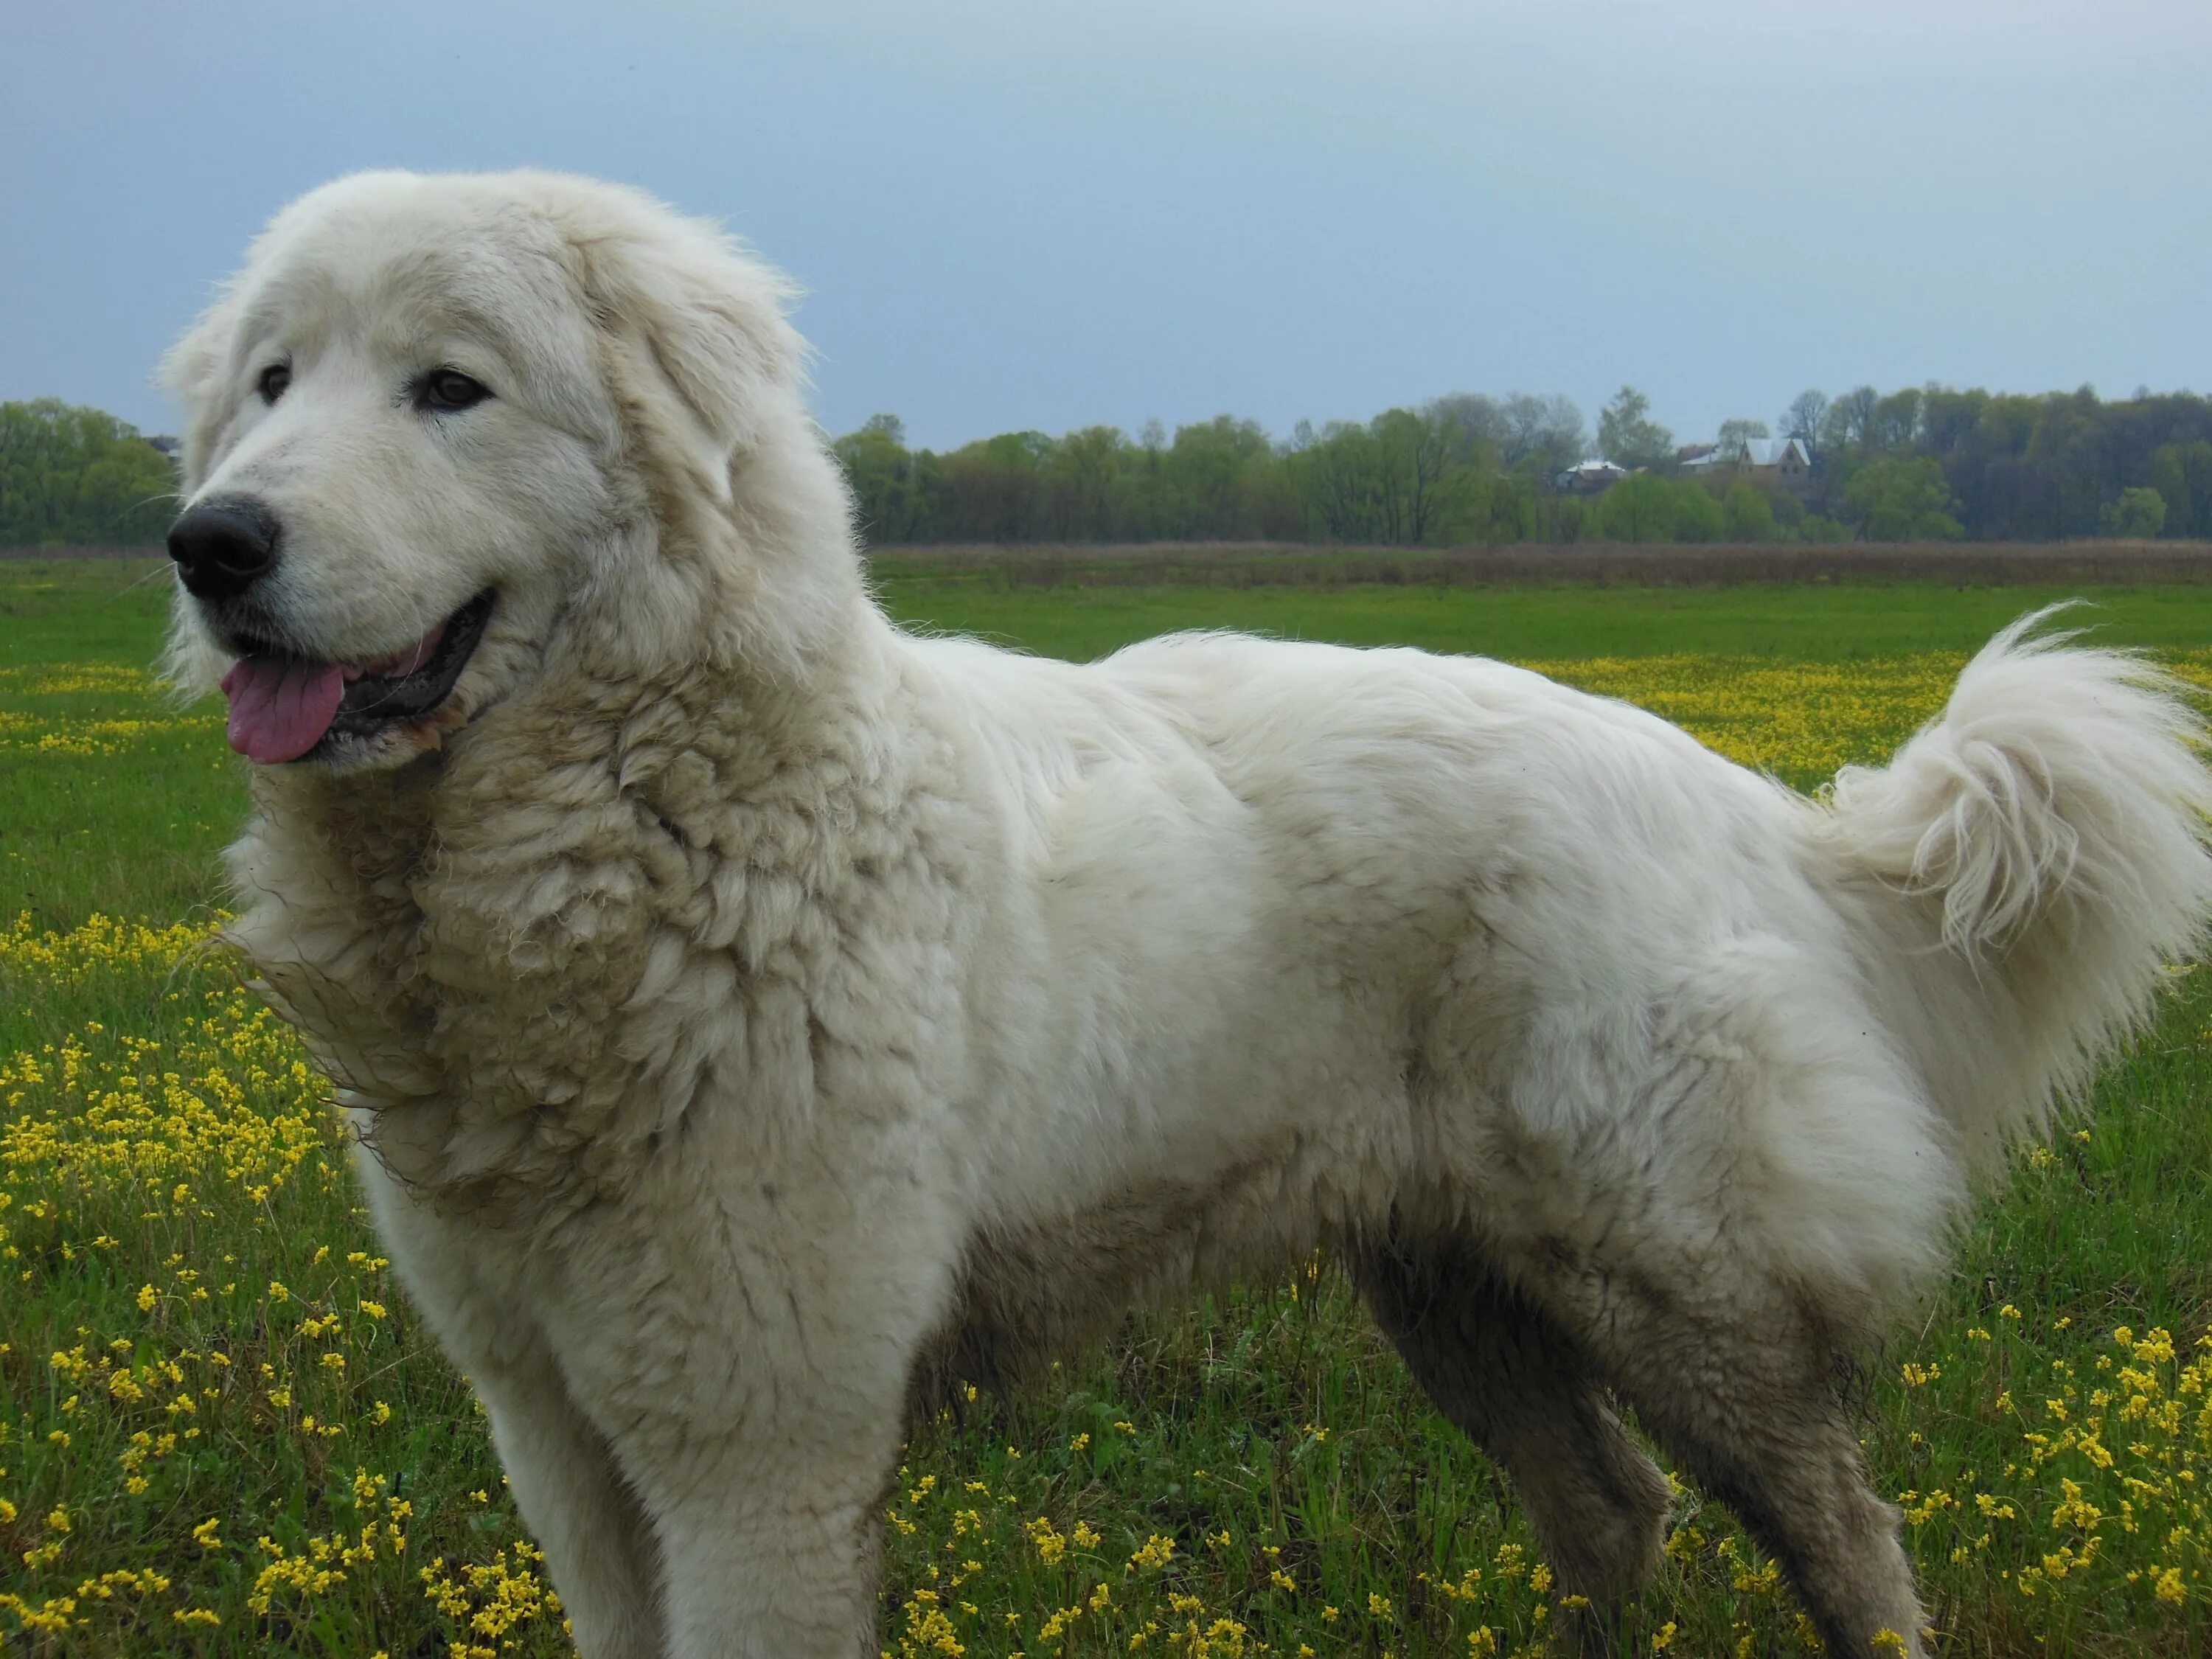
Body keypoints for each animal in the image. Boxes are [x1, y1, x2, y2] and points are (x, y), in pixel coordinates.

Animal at [160, 173, 2212, 1659]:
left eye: (450, 387)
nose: (210, 543)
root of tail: (1725, 792)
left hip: (1681, 1287)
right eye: (272, 384)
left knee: (1845, 1544)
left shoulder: (757, 1444)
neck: (645, 820)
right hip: (1459, 1288)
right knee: (1609, 1514)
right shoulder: (562, 1433)